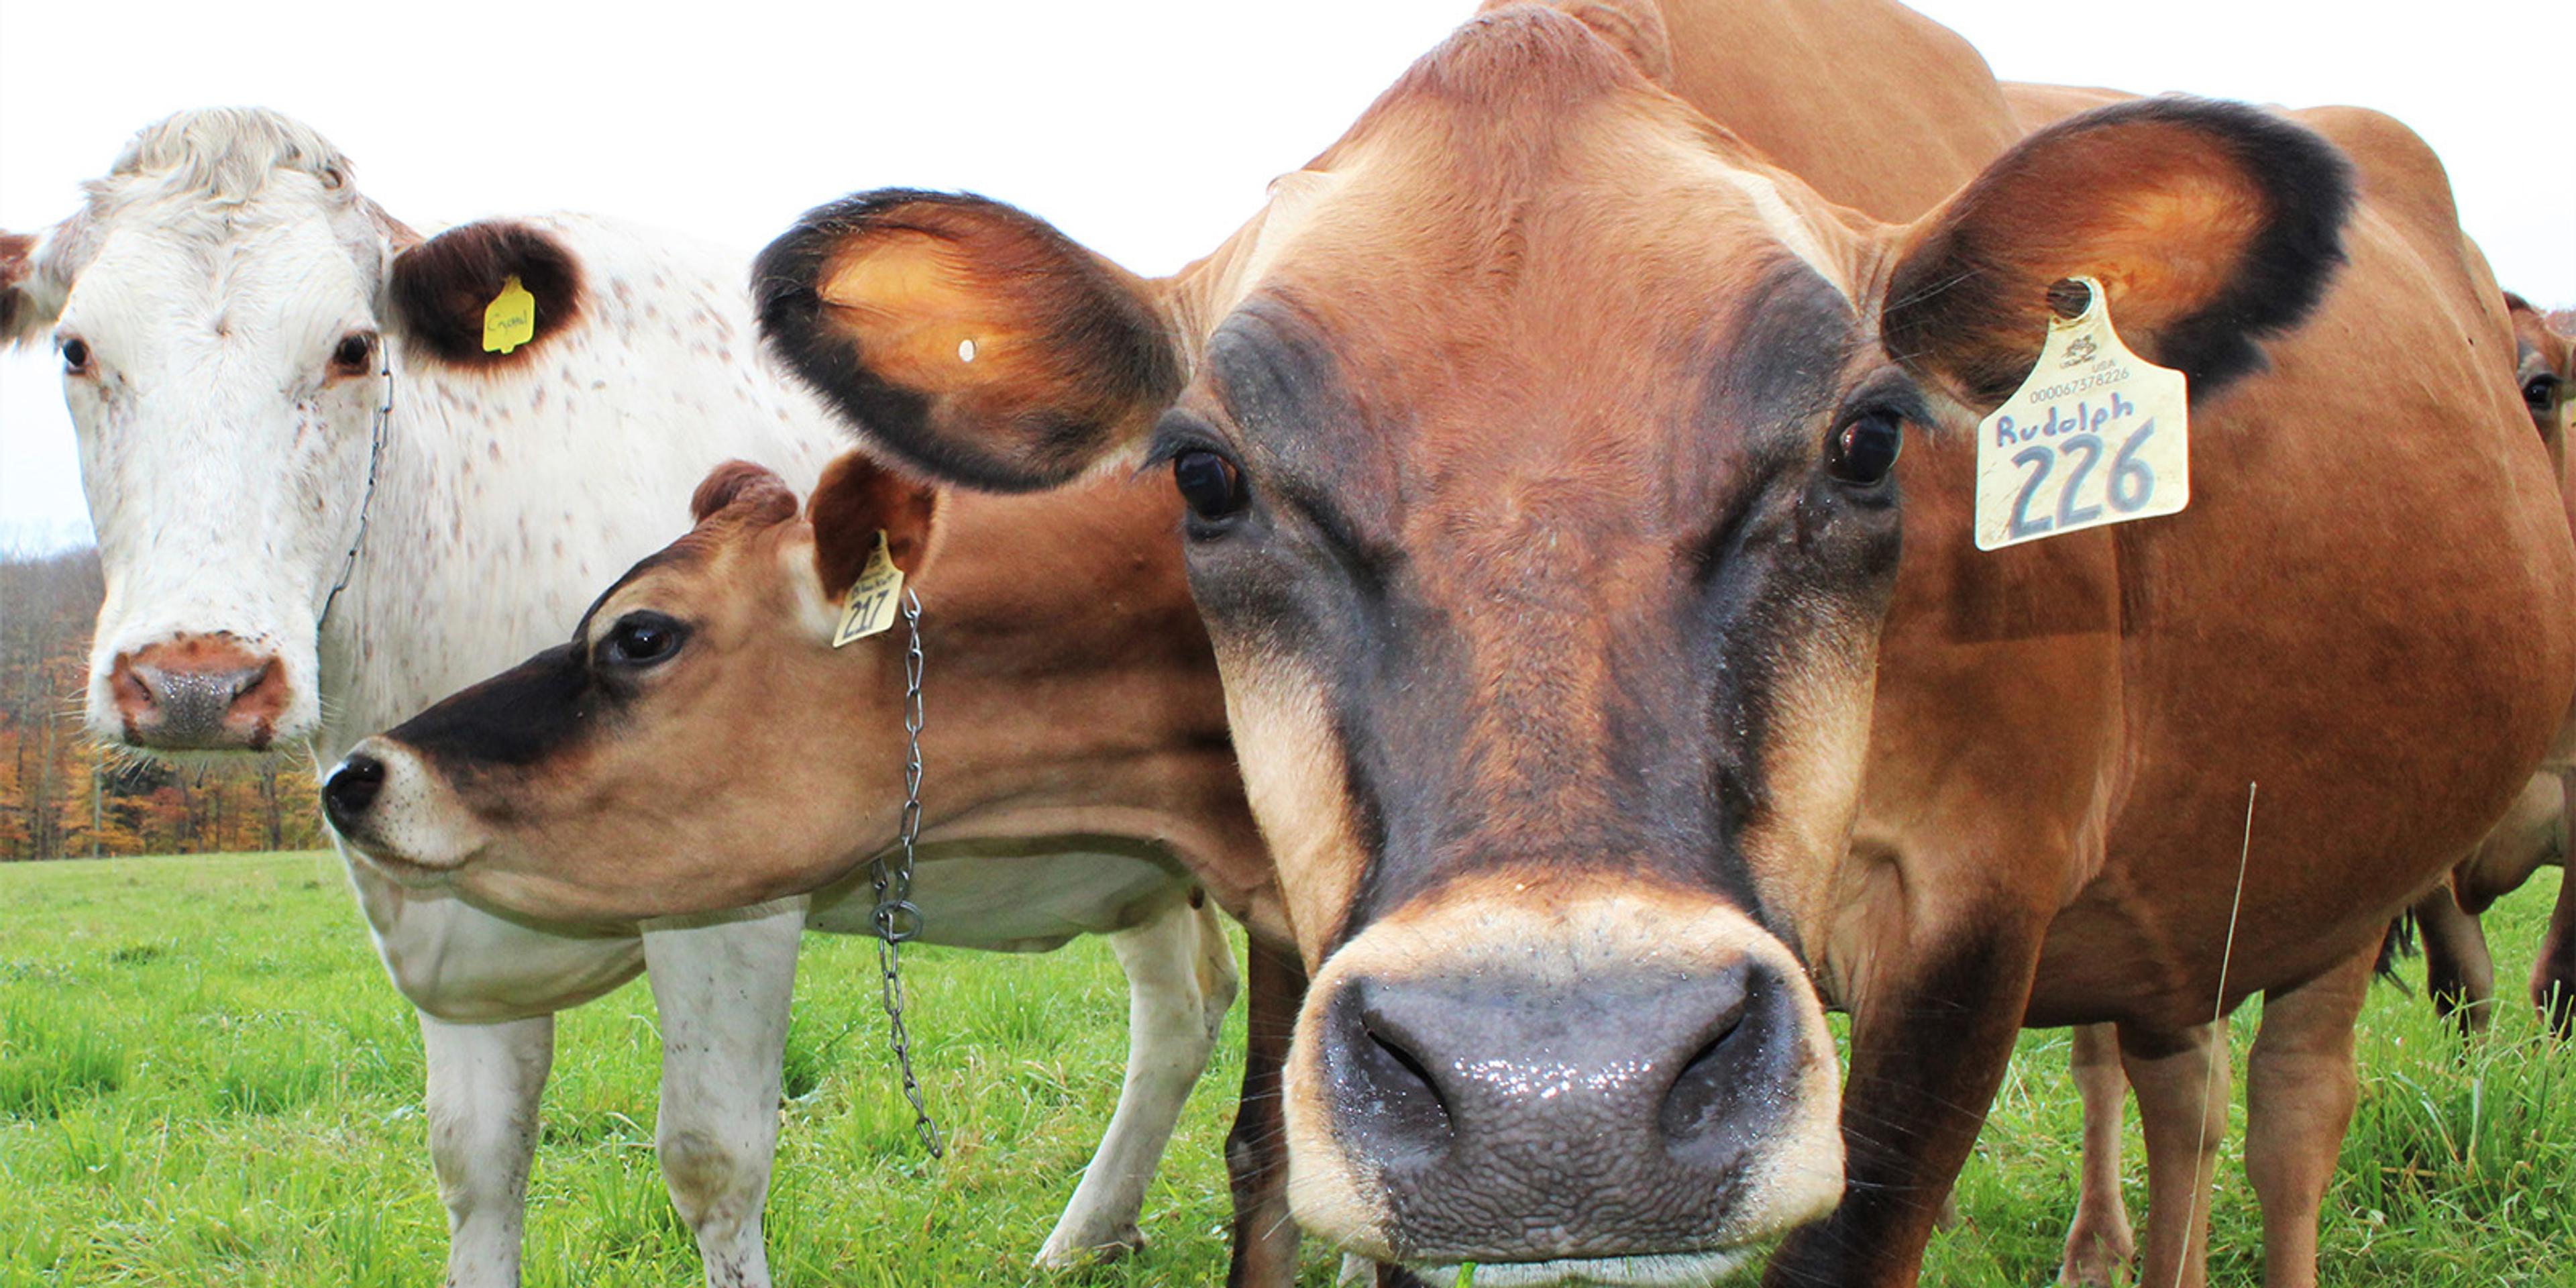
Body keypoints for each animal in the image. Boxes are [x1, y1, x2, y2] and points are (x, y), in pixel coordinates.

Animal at [0, 108, 1233, 1285]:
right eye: (75, 349)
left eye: (352, 347)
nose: (195, 680)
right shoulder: (447, 918)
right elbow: (476, 1163)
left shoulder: (735, 889)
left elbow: (711, 1160)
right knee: (1186, 1004)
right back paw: (1091, 1232)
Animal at [730, 3, 2575, 1286]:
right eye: (1204, 474)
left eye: (1868, 440)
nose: (1563, 1083)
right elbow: (1282, 1170)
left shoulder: (1979, 907)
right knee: (2179, 1084)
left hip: (2341, 876)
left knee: (2288, 1126)